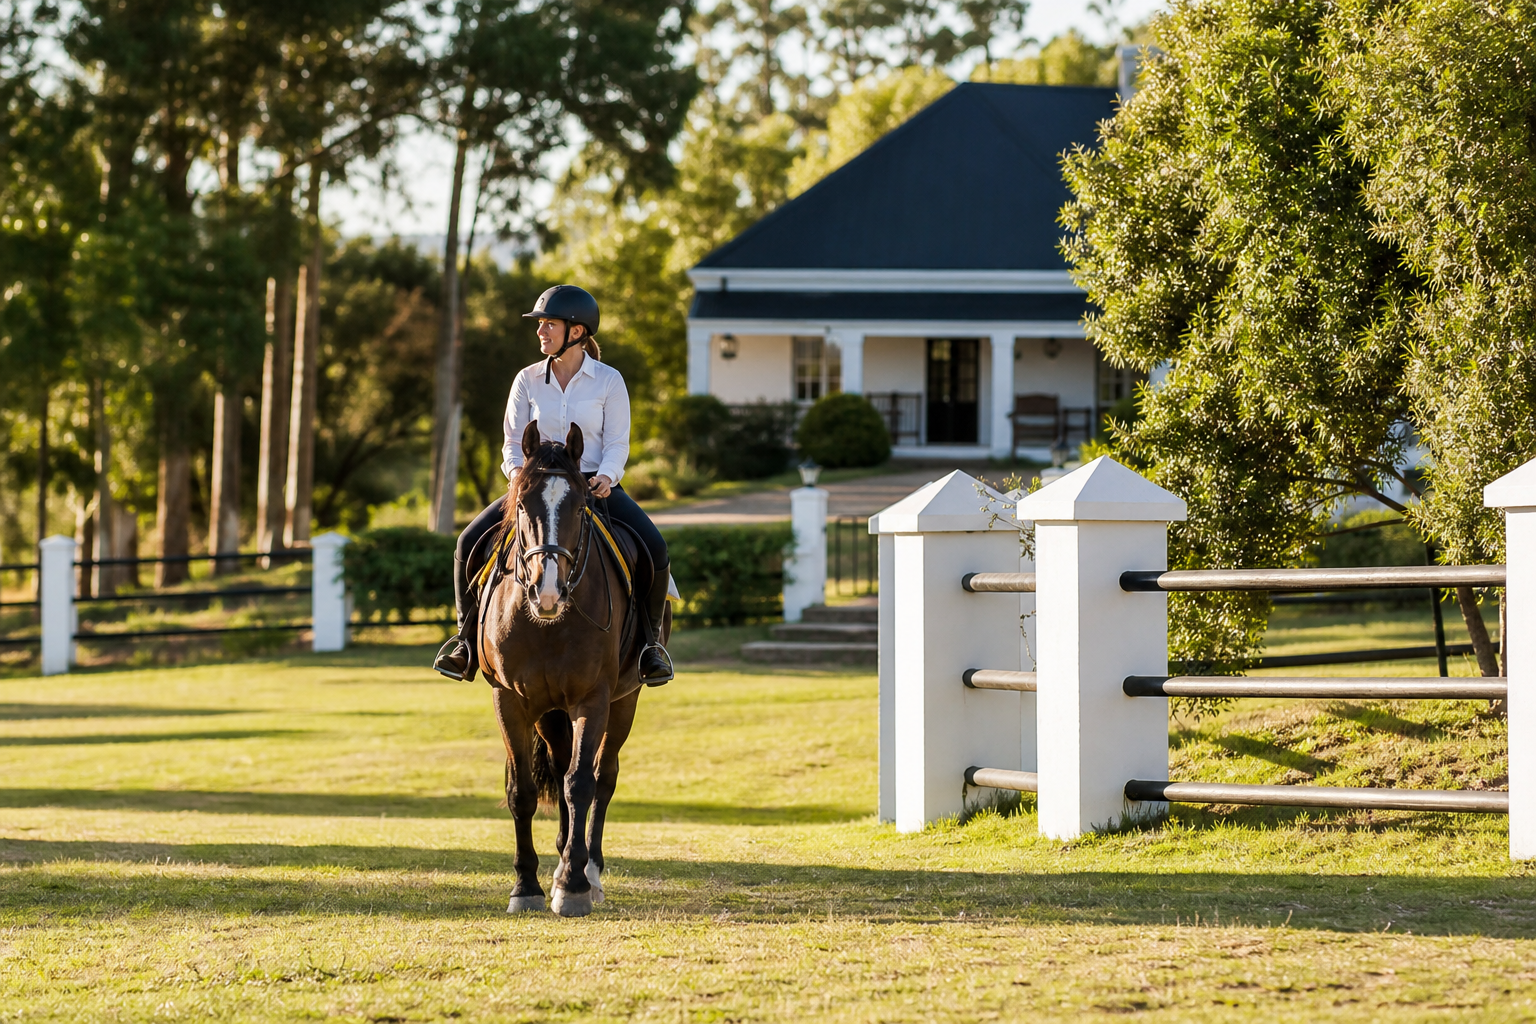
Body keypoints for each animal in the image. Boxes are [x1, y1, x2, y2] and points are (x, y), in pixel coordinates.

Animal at [478, 420, 667, 917]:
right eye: (521, 503)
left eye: (582, 505)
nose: (547, 592)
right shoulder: (511, 699)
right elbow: (523, 791)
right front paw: (526, 885)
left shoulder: (593, 698)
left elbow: (582, 783)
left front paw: (574, 885)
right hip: (549, 712)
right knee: (562, 765)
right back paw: (565, 853)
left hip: (625, 700)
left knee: (603, 776)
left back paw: (588, 869)